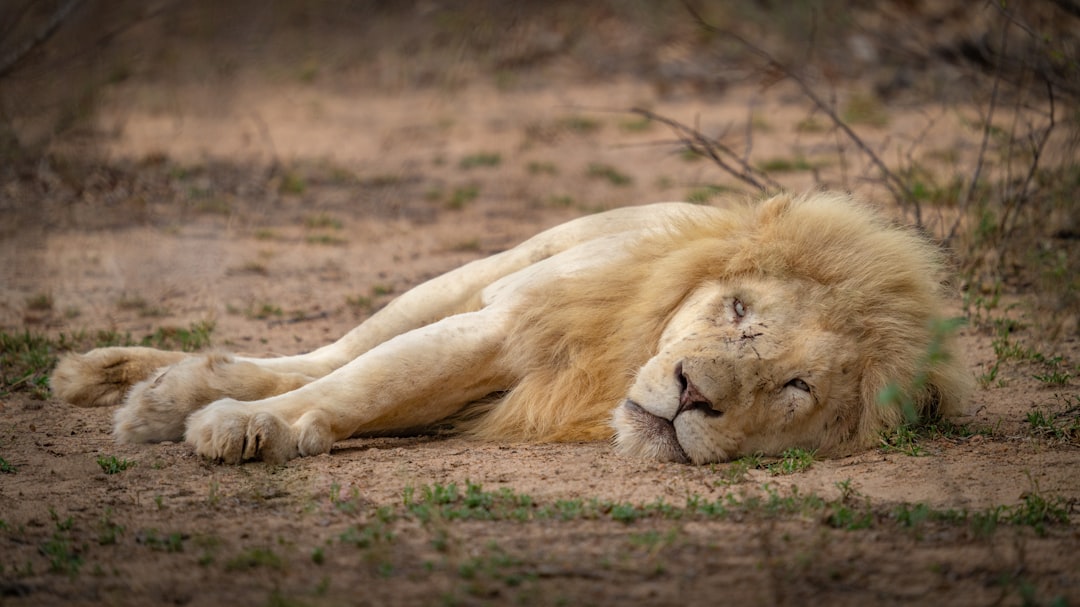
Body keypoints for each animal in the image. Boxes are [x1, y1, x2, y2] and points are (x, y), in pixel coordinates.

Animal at [50, 191, 973, 465]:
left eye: (797, 385)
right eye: (739, 310)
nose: (688, 394)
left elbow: (356, 391)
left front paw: (248, 423)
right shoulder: (506, 326)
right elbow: (362, 381)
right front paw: (242, 425)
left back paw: (155, 392)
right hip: (481, 275)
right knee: (330, 351)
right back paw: (138, 385)